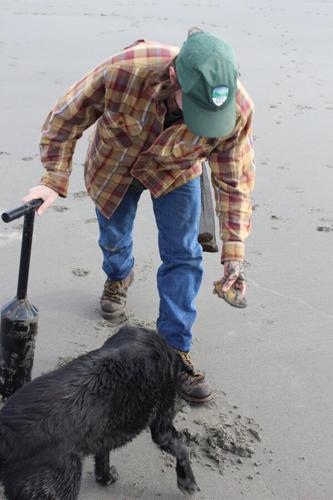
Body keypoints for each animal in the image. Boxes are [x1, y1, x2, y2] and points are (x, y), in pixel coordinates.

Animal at [0, 326, 197, 498]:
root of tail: (7, 435)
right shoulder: (162, 426)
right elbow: (182, 448)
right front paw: (188, 482)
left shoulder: (103, 435)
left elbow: (103, 458)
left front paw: (105, 478)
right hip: (60, 485)